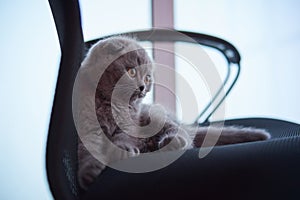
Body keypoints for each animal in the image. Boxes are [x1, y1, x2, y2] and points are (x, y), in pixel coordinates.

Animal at [76, 36, 270, 191]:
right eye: (131, 72)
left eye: (147, 77)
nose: (143, 87)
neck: (112, 104)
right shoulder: (88, 127)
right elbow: (88, 150)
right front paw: (87, 173)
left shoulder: (131, 126)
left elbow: (123, 138)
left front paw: (122, 150)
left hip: (156, 117)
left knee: (184, 136)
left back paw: (172, 142)